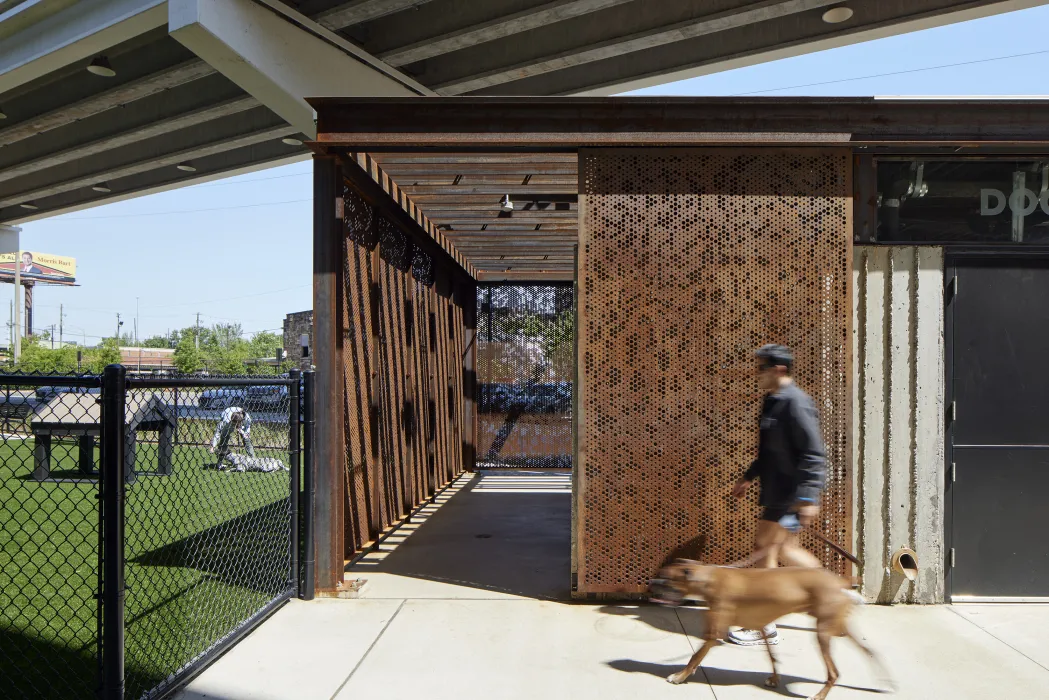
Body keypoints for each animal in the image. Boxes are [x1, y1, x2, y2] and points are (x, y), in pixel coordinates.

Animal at [650, 562, 889, 700]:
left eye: (667, 578)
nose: (651, 584)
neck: (709, 579)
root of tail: (840, 582)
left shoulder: (712, 636)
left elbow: (694, 657)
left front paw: (679, 676)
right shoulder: (761, 627)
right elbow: (771, 656)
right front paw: (774, 679)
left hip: (822, 634)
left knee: (834, 673)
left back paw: (819, 695)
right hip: (838, 628)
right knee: (869, 651)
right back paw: (883, 681)